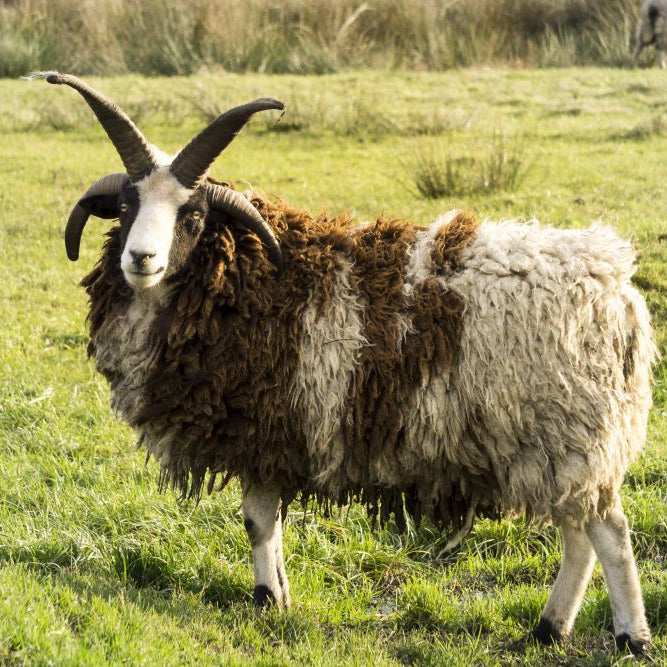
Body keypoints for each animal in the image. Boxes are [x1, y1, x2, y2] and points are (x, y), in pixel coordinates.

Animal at [34, 72, 656, 652]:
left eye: (191, 218)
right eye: (125, 207)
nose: (141, 258)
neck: (241, 277)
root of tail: (616, 289)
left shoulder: (263, 427)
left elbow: (257, 521)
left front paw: (266, 600)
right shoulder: (274, 435)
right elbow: (269, 525)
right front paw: (279, 593)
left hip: (569, 434)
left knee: (609, 534)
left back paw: (631, 636)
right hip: (562, 448)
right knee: (580, 535)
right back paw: (549, 629)